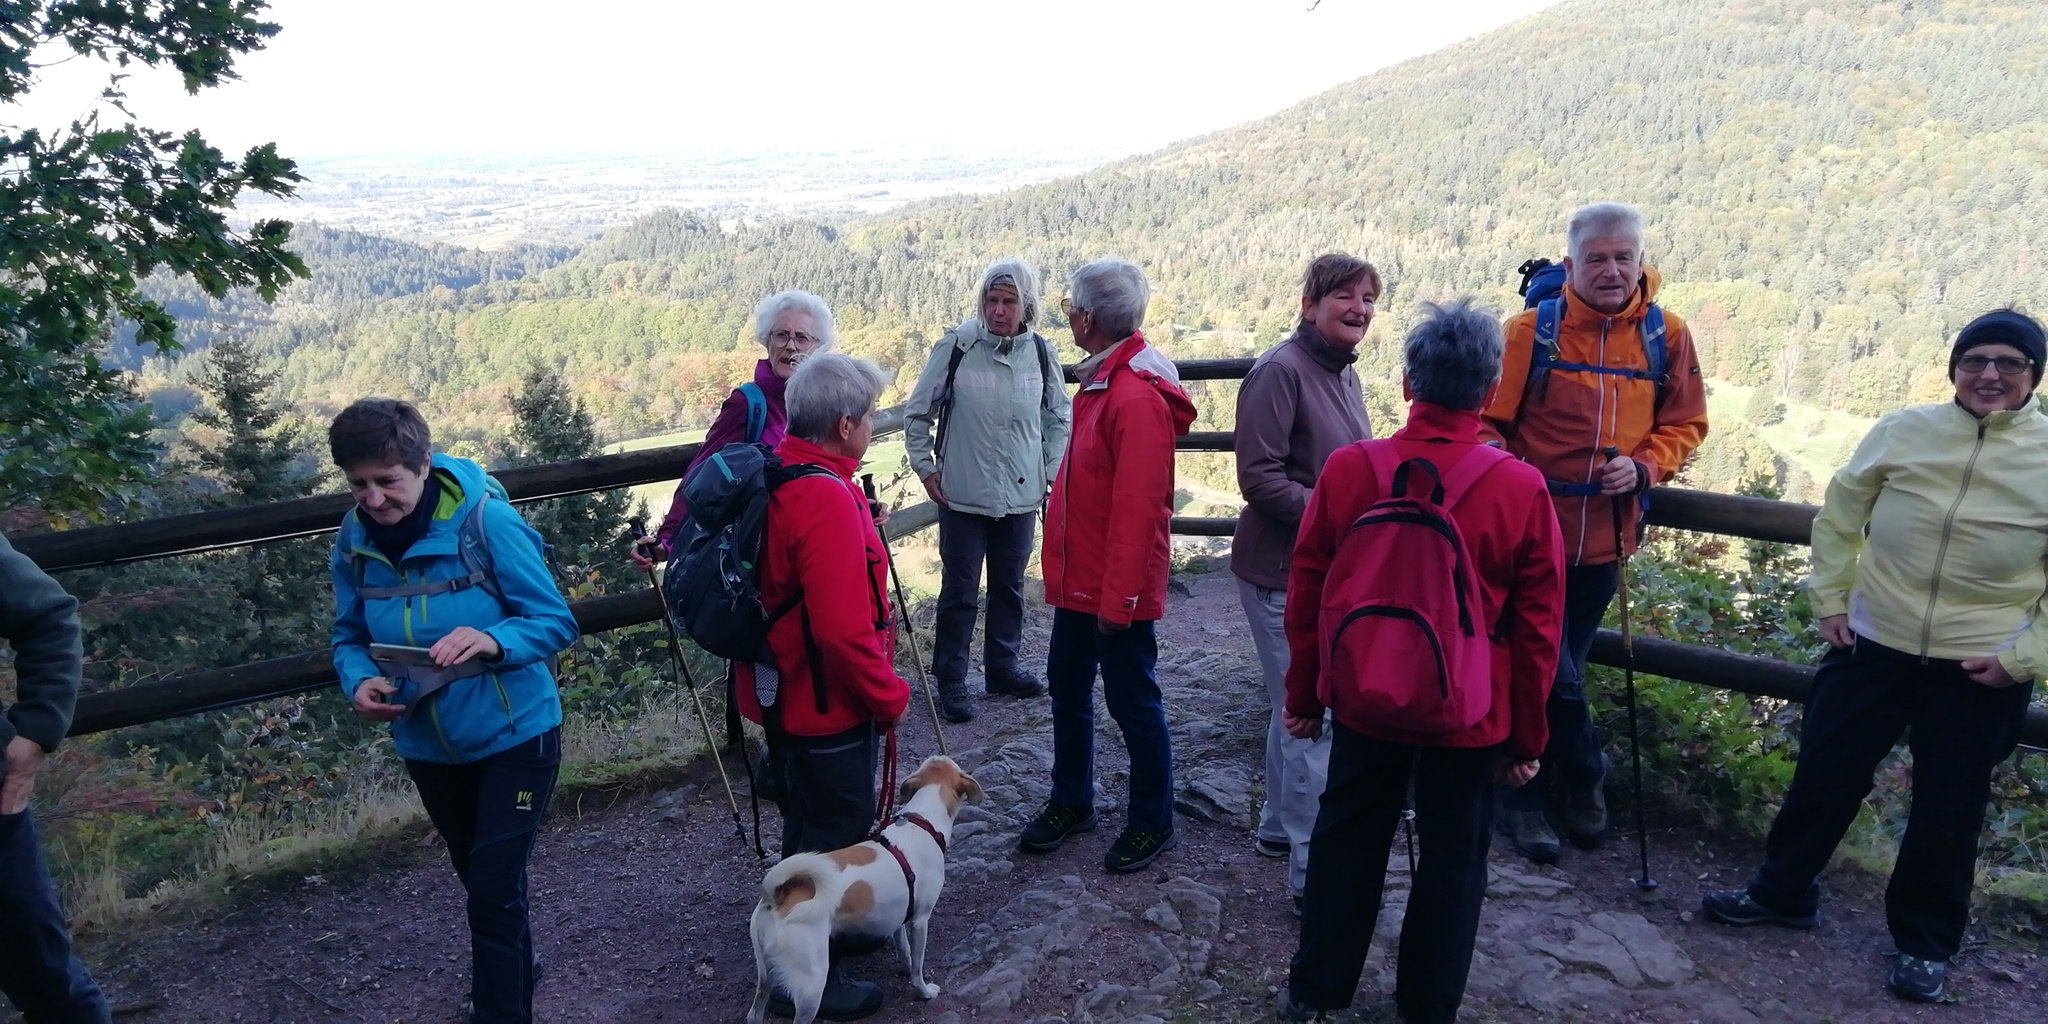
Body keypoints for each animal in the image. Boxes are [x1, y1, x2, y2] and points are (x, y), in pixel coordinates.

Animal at [746, 755, 983, 1024]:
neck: (922, 821)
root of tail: (779, 895)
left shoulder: (901, 917)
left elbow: (904, 950)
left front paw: (903, 966)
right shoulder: (920, 920)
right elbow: (918, 965)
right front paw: (923, 991)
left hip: (766, 976)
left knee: (754, 1013)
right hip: (812, 983)